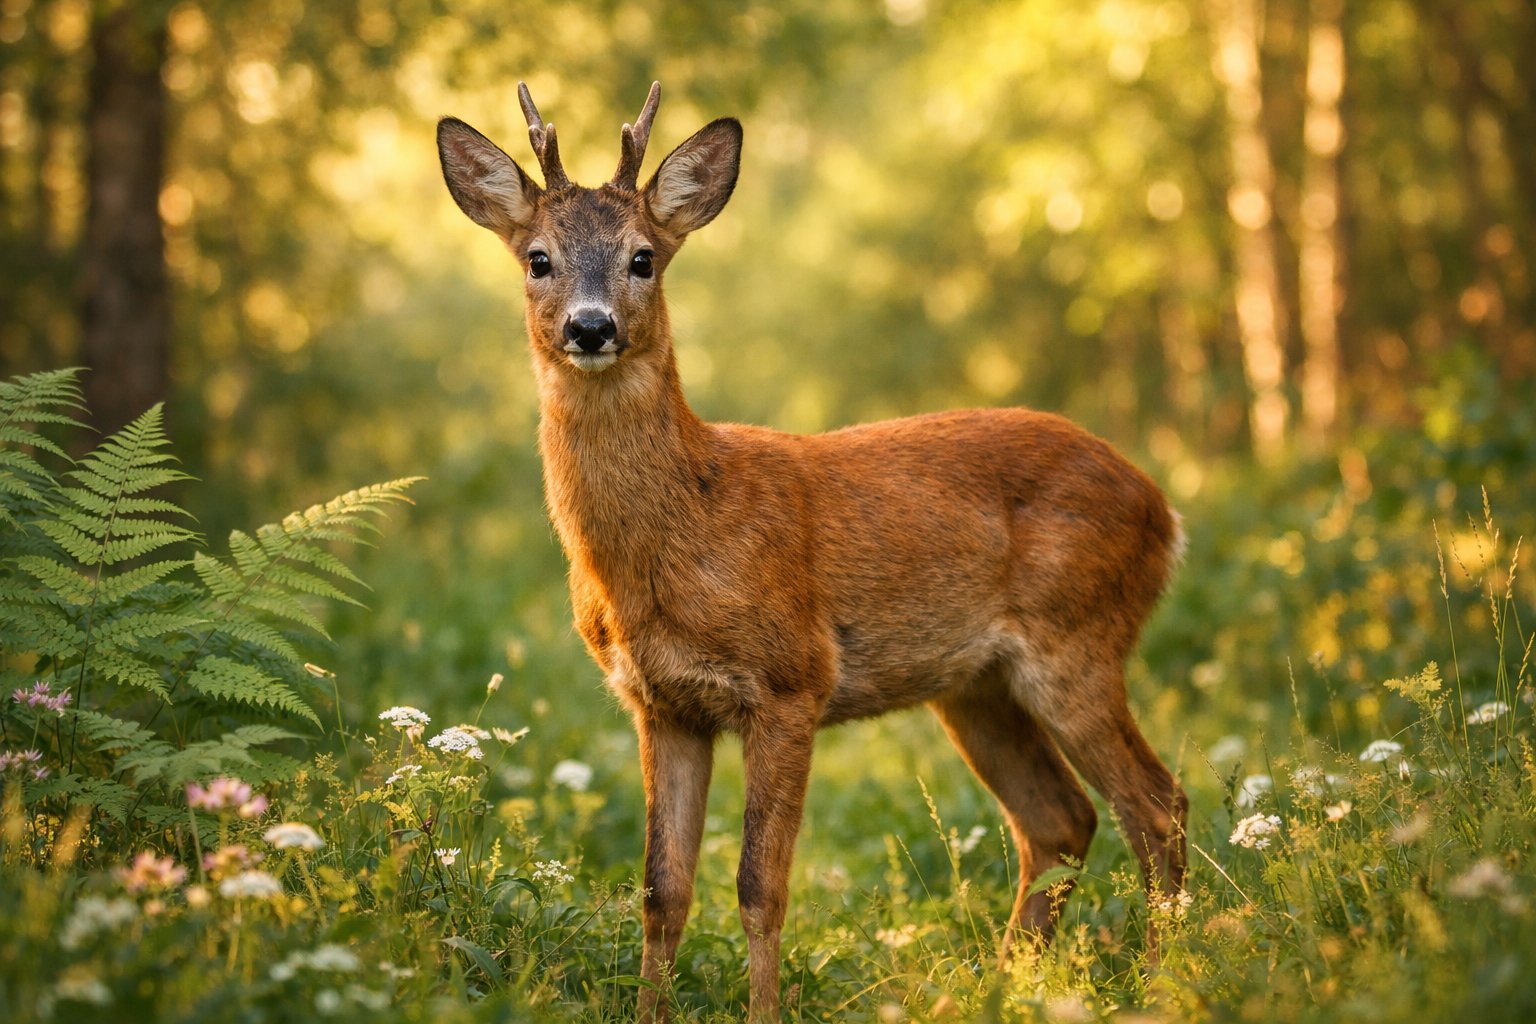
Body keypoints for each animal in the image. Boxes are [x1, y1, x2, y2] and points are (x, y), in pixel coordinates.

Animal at [436, 82, 1188, 1023]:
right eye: (538, 258)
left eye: (644, 258)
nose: (592, 325)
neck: (682, 531)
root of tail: (1162, 506)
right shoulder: (662, 705)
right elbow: (661, 890)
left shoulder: (791, 680)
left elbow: (761, 886)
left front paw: (764, 1012)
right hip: (976, 685)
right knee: (1060, 820)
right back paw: (1003, 986)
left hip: (1077, 638)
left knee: (1156, 806)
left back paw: (1160, 984)